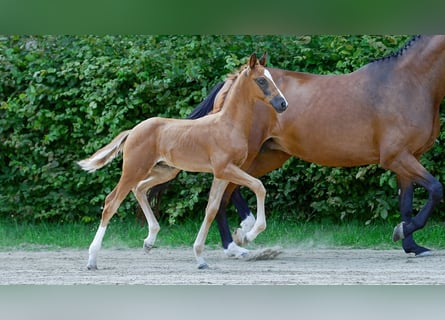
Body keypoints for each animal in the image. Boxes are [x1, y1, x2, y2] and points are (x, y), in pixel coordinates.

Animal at [77, 53, 288, 270]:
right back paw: (92, 259)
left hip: (165, 171)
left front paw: (200, 258)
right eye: (261, 80)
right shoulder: (224, 169)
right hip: (133, 169)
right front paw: (248, 235)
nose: (282, 104)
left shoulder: (222, 174)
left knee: (140, 189)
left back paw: (149, 240)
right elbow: (259, 186)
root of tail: (133, 130)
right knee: (111, 202)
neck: (228, 125)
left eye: (271, 77)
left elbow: (211, 209)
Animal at [157, 34, 445, 258]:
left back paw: (239, 237)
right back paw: (237, 242)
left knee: (230, 189)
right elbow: (436, 189)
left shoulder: (408, 158)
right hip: (248, 154)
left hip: (267, 155)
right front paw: (403, 232)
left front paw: (412, 245)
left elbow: (406, 204)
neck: (407, 83)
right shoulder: (397, 157)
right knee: (223, 192)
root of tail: (232, 81)